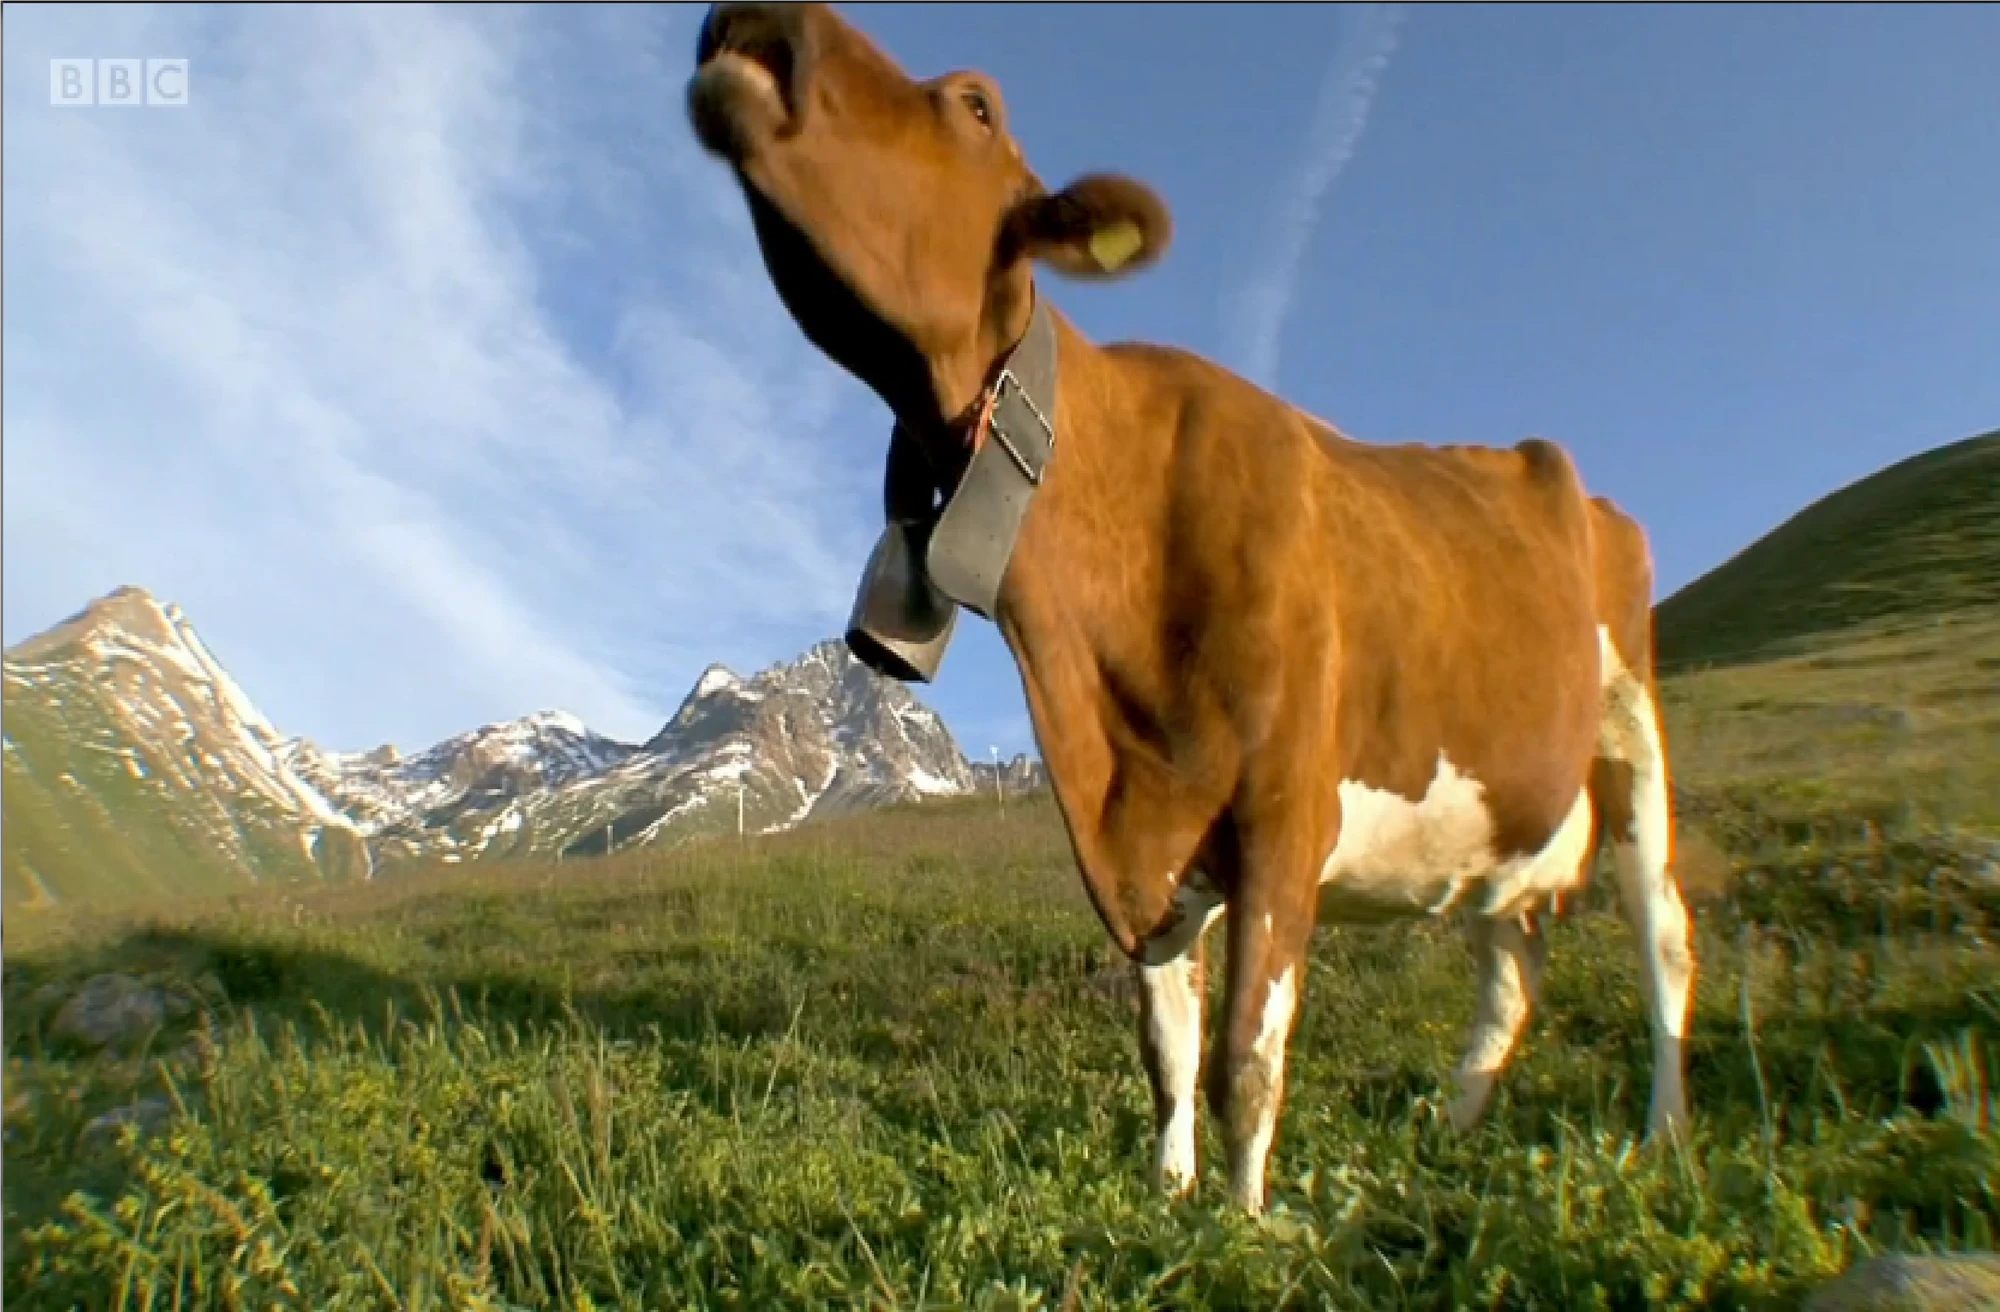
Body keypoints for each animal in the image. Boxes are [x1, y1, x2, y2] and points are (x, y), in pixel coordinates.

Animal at [685, 0, 1696, 1213]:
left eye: (975, 105)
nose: (757, 18)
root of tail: (1560, 473)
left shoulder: (1283, 811)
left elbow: (1243, 1062)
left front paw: (1242, 1222)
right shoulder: (1140, 834)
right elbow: (1168, 1050)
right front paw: (1169, 1199)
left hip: (1633, 739)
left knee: (1663, 936)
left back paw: (1663, 1137)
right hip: (1512, 818)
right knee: (1509, 962)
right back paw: (1453, 1134)